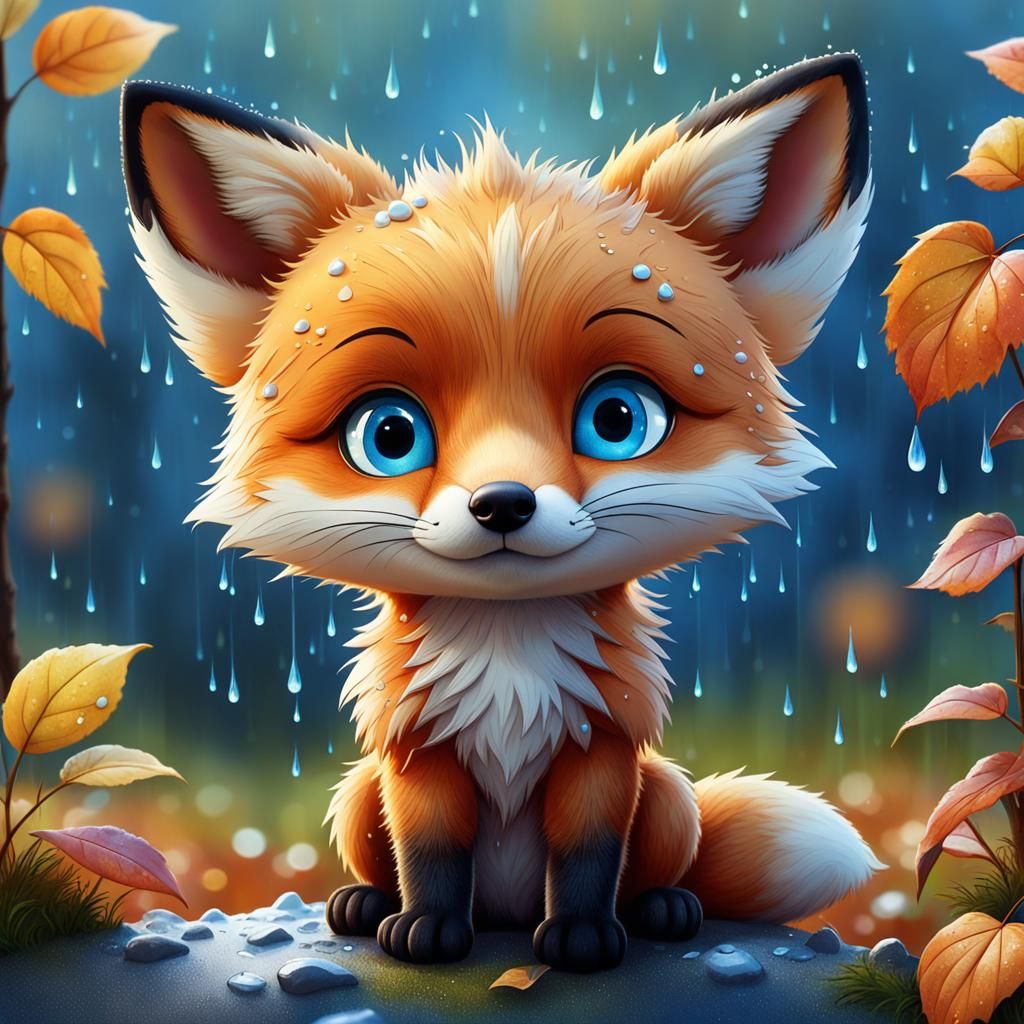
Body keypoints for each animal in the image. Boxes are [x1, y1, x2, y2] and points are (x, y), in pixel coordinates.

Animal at [119, 51, 882, 973]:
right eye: (389, 434)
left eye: (618, 419)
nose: (503, 504)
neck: (507, 652)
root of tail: (508, 916)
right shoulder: (419, 749)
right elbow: (432, 852)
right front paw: (425, 930)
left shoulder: (600, 742)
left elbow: (587, 854)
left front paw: (584, 938)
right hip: (358, 792)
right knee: (377, 852)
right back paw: (365, 903)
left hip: (666, 792)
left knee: (668, 855)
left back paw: (662, 908)